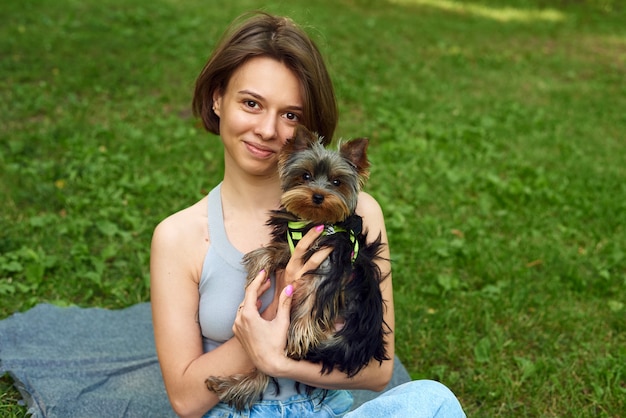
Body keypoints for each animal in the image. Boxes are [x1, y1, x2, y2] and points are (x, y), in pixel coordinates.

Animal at [205, 125, 388, 410]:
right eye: (306, 175)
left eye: (337, 182)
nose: (318, 196)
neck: (315, 222)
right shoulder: (291, 245)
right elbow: (270, 251)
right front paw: (256, 269)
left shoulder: (330, 267)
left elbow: (313, 297)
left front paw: (300, 331)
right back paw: (228, 387)